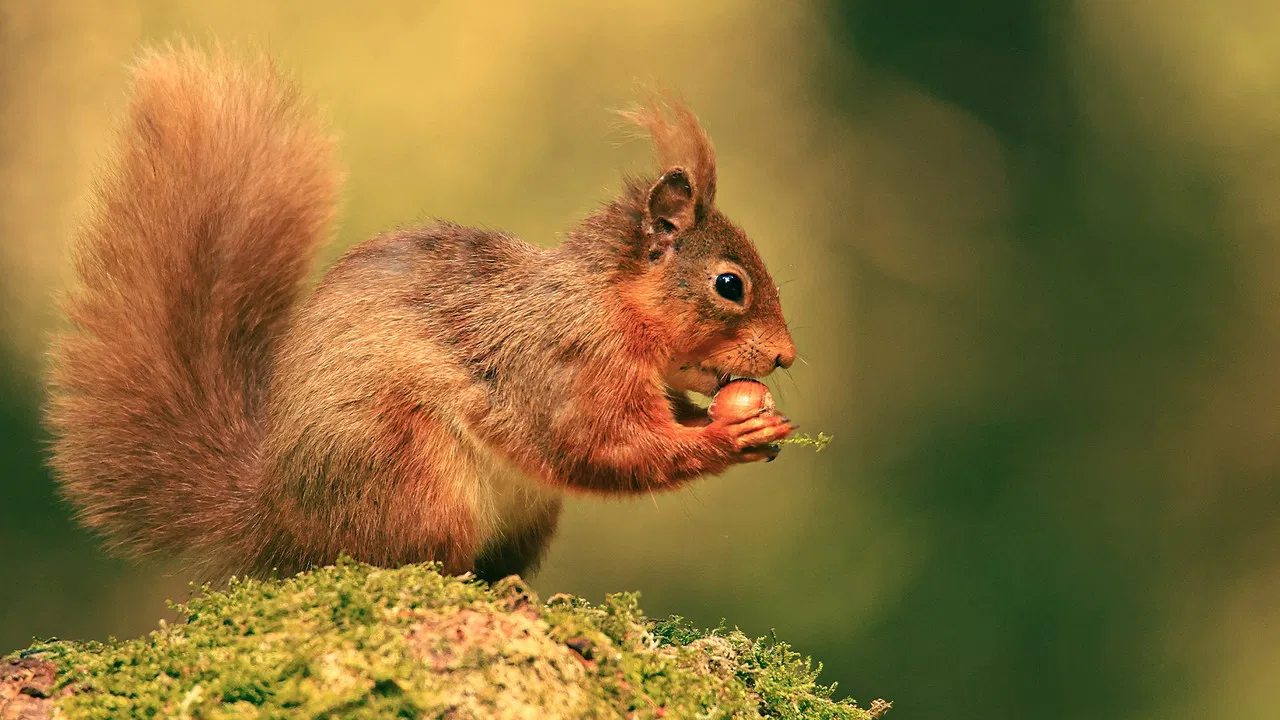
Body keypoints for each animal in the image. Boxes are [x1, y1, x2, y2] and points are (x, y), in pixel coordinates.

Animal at [46, 45, 796, 582]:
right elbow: (601, 446)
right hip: (411, 476)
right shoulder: (563, 364)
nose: (786, 357)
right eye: (729, 284)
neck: (606, 302)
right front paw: (727, 435)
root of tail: (279, 522)